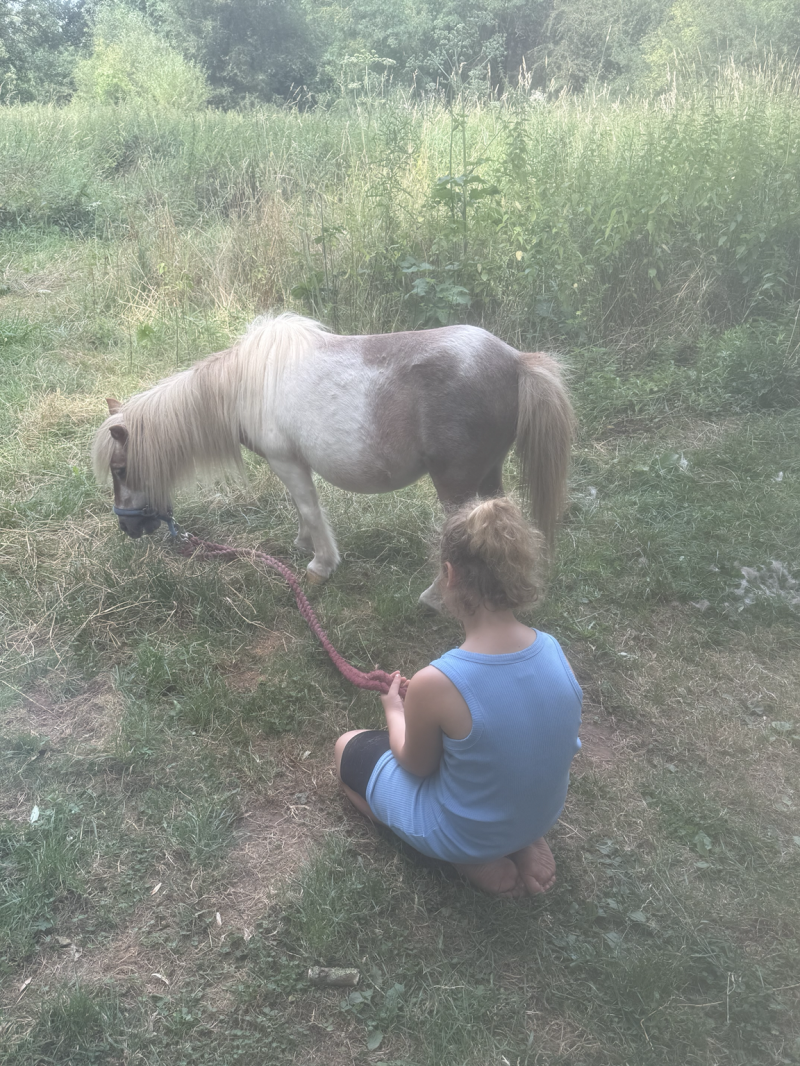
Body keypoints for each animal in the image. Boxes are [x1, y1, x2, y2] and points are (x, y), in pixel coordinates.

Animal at [91, 314, 575, 606]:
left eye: (120, 470)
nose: (128, 529)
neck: (247, 384)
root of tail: (515, 361)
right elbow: (301, 509)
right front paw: (304, 544)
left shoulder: (288, 462)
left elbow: (309, 506)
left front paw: (320, 566)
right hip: (488, 475)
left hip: (456, 485)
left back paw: (435, 598)